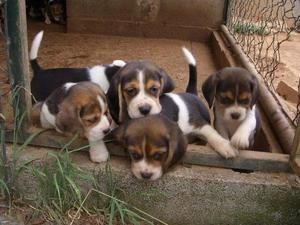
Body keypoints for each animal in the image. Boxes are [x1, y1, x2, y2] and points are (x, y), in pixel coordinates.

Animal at [107, 48, 239, 158]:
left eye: (154, 89)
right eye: (130, 91)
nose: (145, 109)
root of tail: (191, 93)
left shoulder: (200, 124)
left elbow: (213, 135)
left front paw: (226, 147)